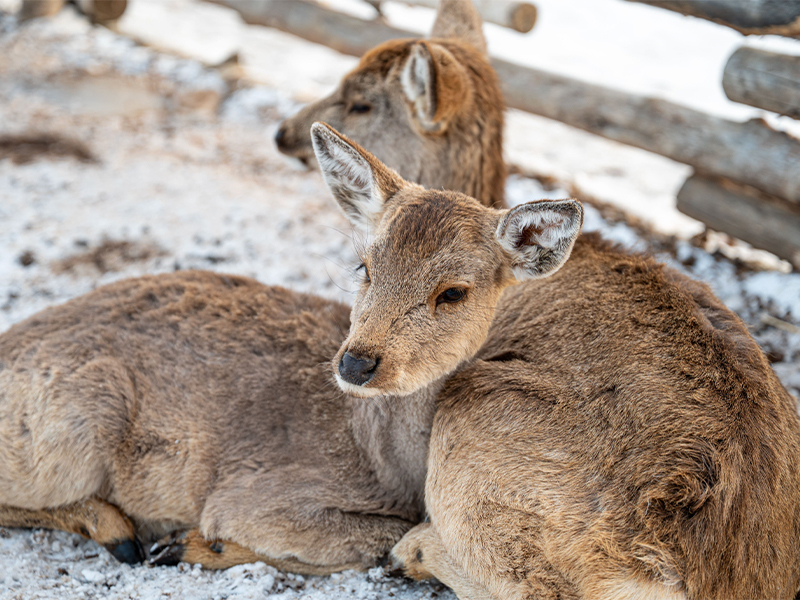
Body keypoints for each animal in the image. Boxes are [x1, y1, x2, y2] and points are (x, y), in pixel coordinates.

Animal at [0, 123, 582, 574]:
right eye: (364, 267)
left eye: (454, 292)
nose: (356, 362)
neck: (387, 468)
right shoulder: (252, 496)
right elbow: (374, 542)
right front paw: (195, 542)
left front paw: (193, 546)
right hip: (78, 421)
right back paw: (120, 532)